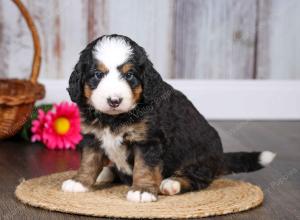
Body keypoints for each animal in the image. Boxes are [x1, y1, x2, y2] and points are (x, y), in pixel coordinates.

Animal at [61, 34, 276, 203]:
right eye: (98, 74)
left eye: (129, 75)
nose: (114, 100)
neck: (114, 118)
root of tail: (220, 157)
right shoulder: (93, 137)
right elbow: (89, 161)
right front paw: (80, 182)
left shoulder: (148, 141)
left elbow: (144, 167)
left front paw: (142, 191)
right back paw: (106, 172)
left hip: (199, 158)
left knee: (198, 179)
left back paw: (172, 183)